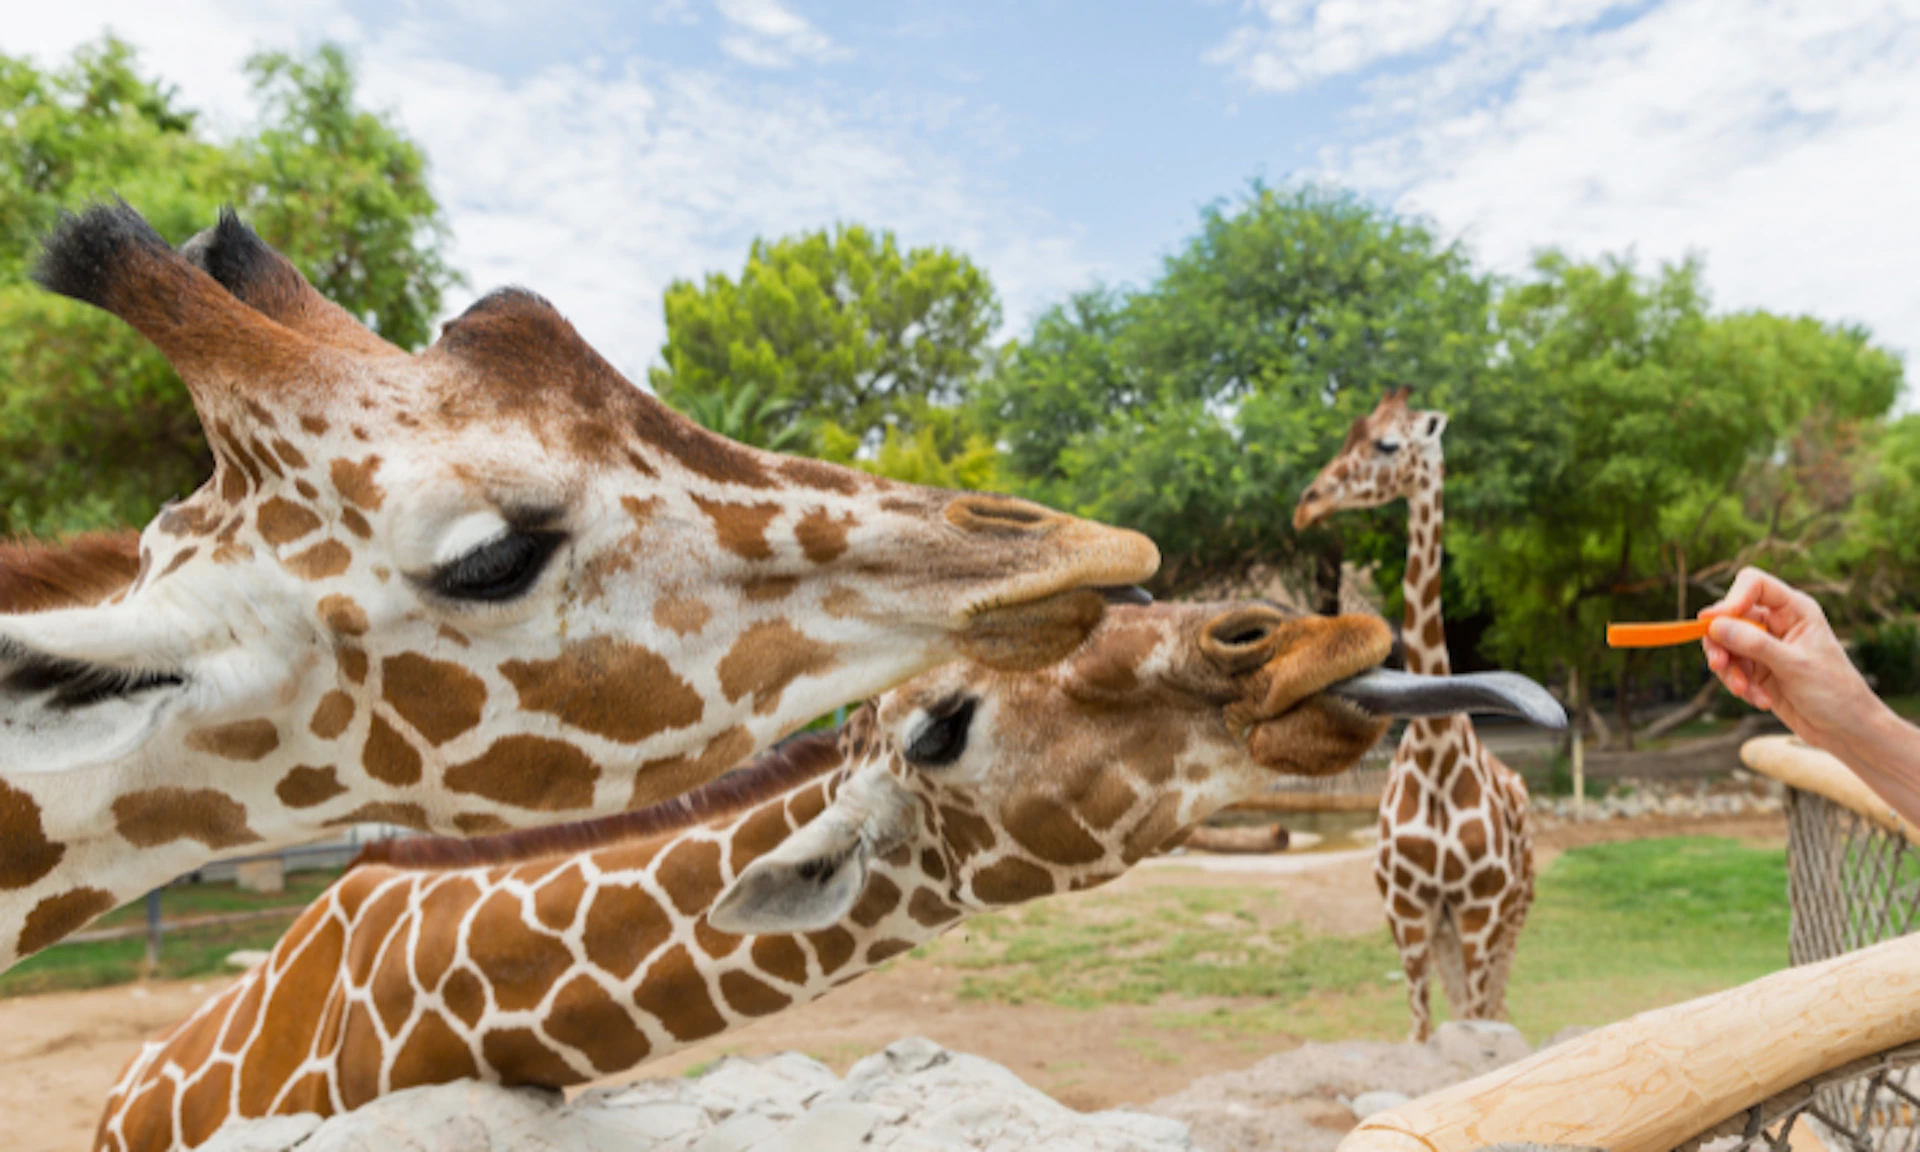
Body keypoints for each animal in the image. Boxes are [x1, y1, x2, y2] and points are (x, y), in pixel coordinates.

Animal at [1293, 386, 1536, 1041]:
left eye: (1387, 444)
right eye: (1346, 435)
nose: (1307, 503)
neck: (1434, 750)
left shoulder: (1479, 912)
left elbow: (1476, 1026)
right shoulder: (1405, 913)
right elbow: (1423, 1031)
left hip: (1512, 916)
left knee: (1496, 1007)